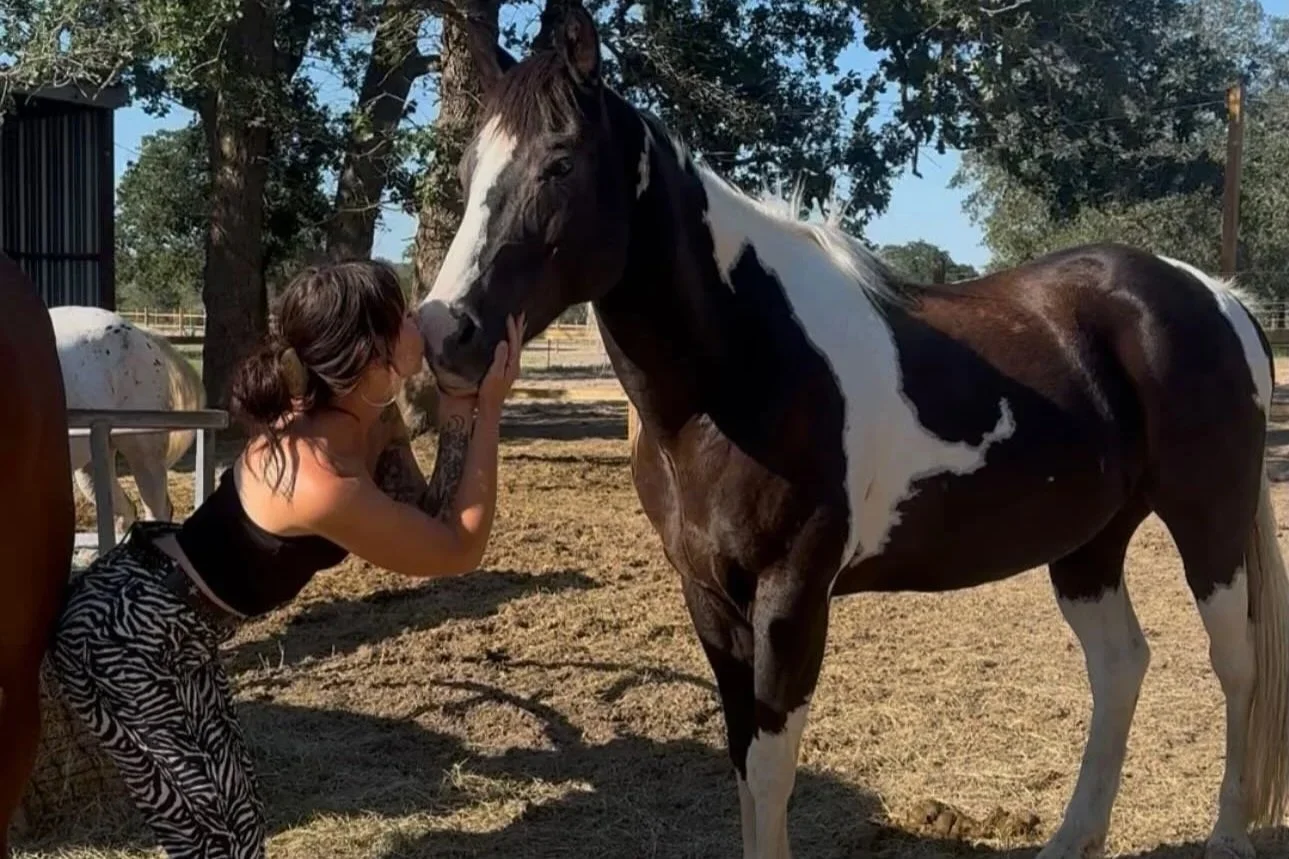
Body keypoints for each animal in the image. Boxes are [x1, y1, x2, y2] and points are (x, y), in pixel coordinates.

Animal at [415, 6, 1289, 858]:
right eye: (465, 174)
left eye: (559, 164)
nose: (443, 332)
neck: (748, 367)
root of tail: (1217, 294)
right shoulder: (709, 596)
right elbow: (740, 767)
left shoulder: (791, 595)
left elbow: (771, 773)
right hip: (1088, 542)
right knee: (1120, 664)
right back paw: (1073, 836)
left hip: (1206, 523)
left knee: (1236, 664)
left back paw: (1225, 835)